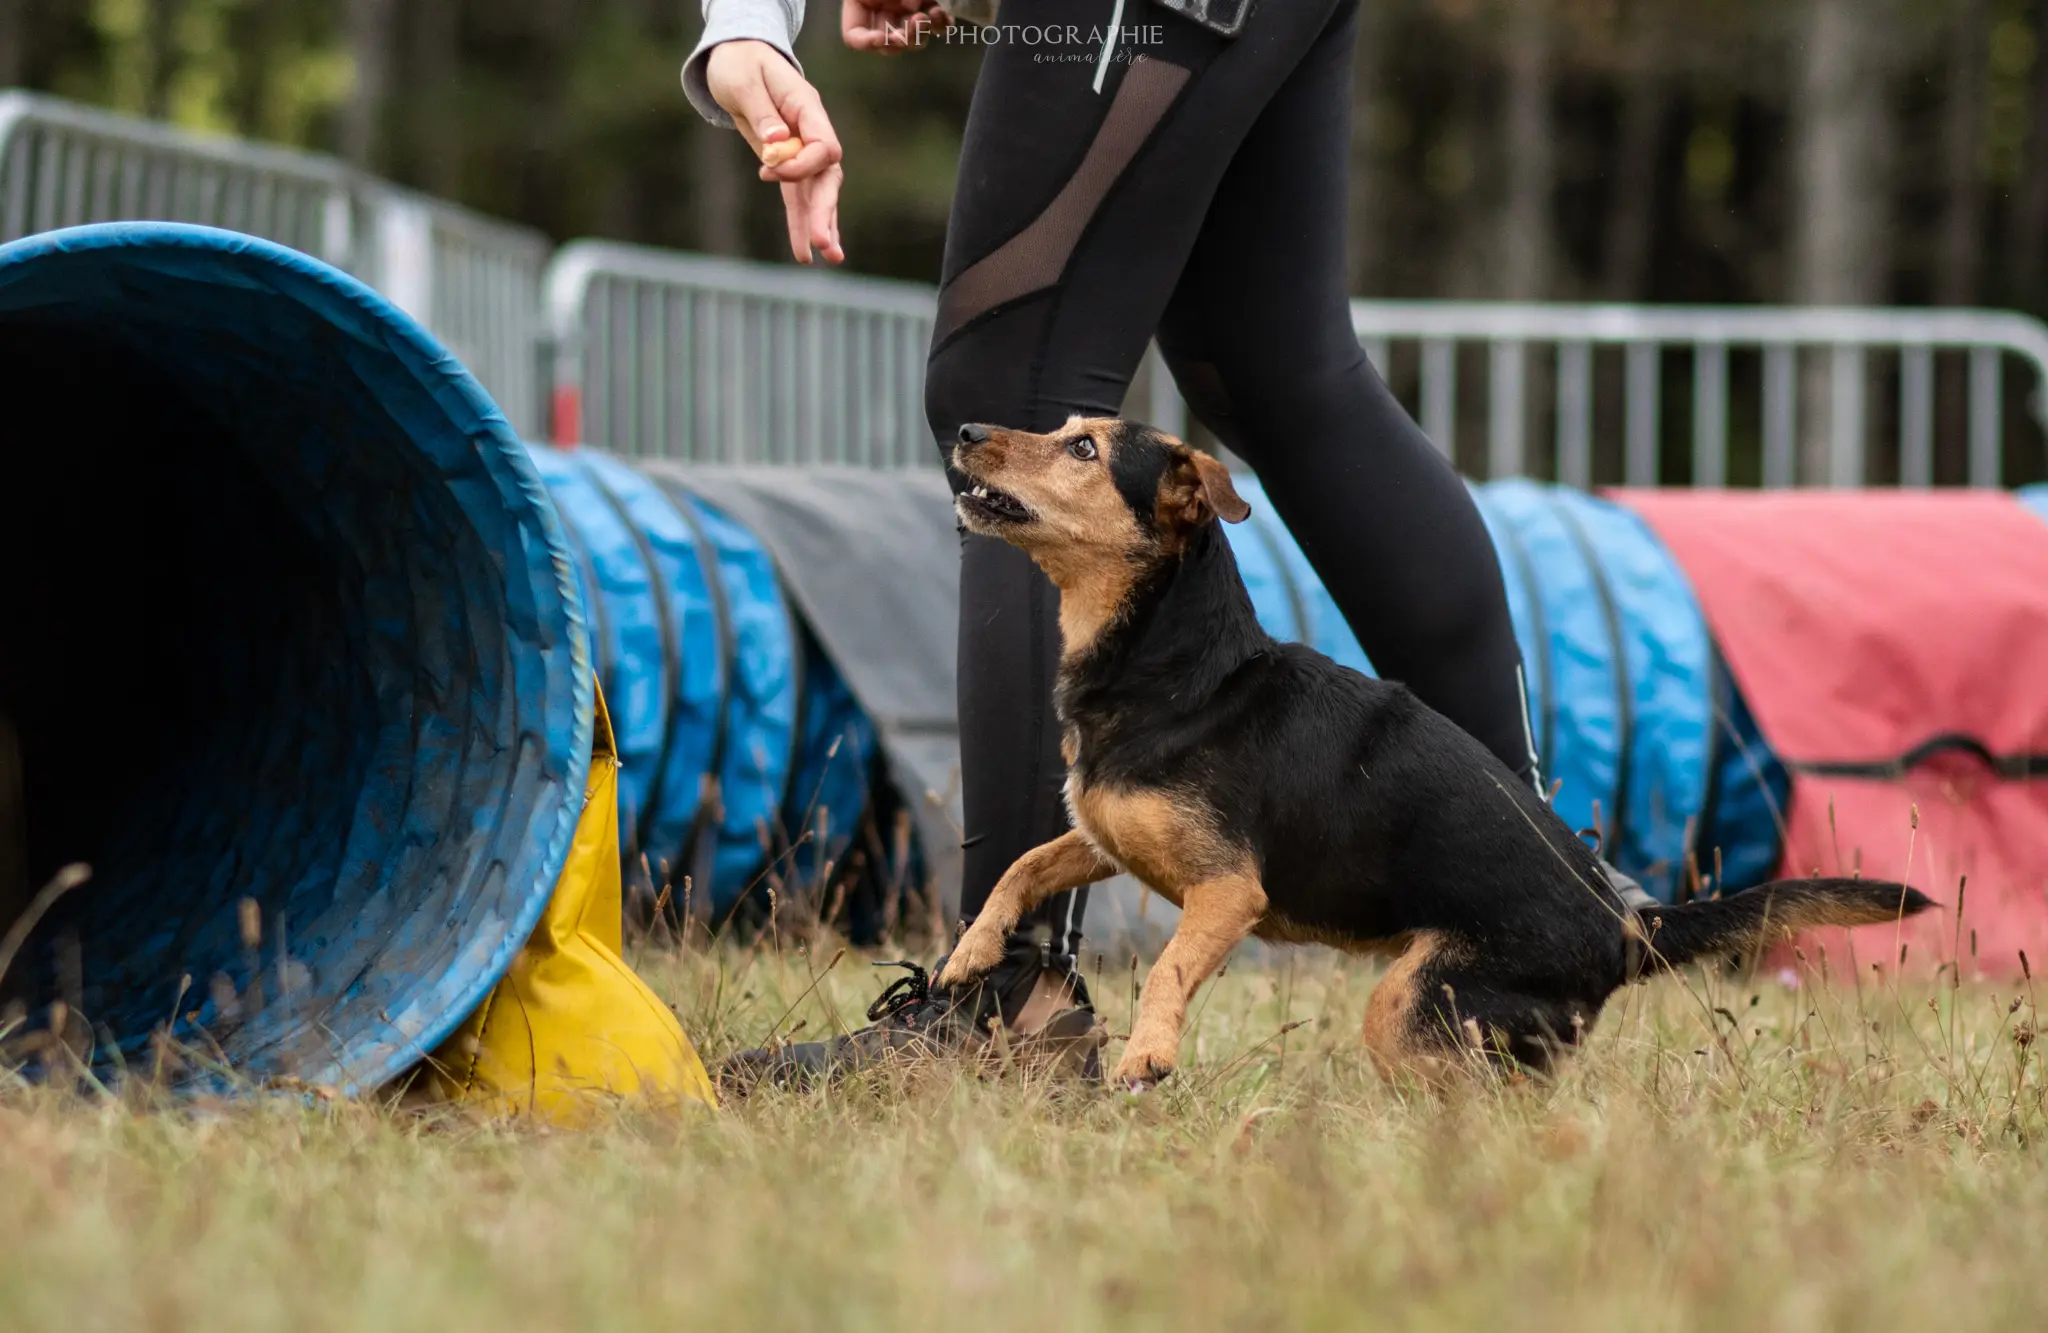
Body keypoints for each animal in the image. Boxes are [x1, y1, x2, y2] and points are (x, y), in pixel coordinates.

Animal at [937, 419, 1925, 1097]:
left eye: (1085, 449)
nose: (969, 430)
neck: (1170, 662)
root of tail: (1625, 927)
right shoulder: (1106, 837)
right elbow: (1023, 864)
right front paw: (969, 955)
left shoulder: (1227, 889)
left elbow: (1173, 966)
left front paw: (1147, 1054)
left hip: (1415, 1001)